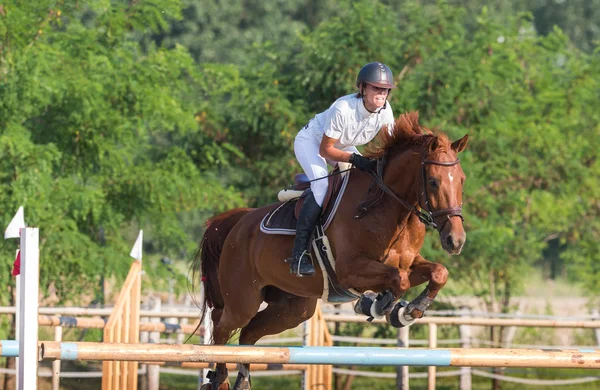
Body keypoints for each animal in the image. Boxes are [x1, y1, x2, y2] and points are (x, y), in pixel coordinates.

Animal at [196, 111, 468, 388]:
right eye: (433, 182)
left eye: (462, 181)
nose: (455, 241)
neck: (386, 208)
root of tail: (239, 221)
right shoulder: (350, 270)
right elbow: (398, 280)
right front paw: (378, 306)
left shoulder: (408, 263)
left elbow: (438, 272)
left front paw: (408, 310)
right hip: (244, 299)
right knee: (222, 324)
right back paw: (219, 378)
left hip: (293, 308)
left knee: (249, 333)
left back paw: (241, 380)